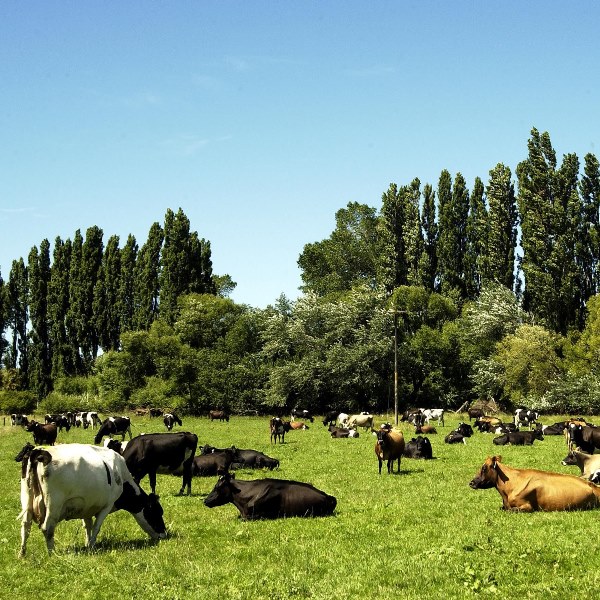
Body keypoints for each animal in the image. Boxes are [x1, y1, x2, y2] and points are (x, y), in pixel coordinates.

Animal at [16, 438, 166, 556]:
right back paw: (52, 554)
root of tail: (39, 451)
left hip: (26, 498)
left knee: (25, 525)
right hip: (54, 504)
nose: (164, 534)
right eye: (157, 512)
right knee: (47, 528)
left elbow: (87, 526)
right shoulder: (107, 505)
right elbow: (96, 527)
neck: (121, 475)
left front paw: (87, 543)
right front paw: (92, 546)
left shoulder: (86, 505)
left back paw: (22, 554)